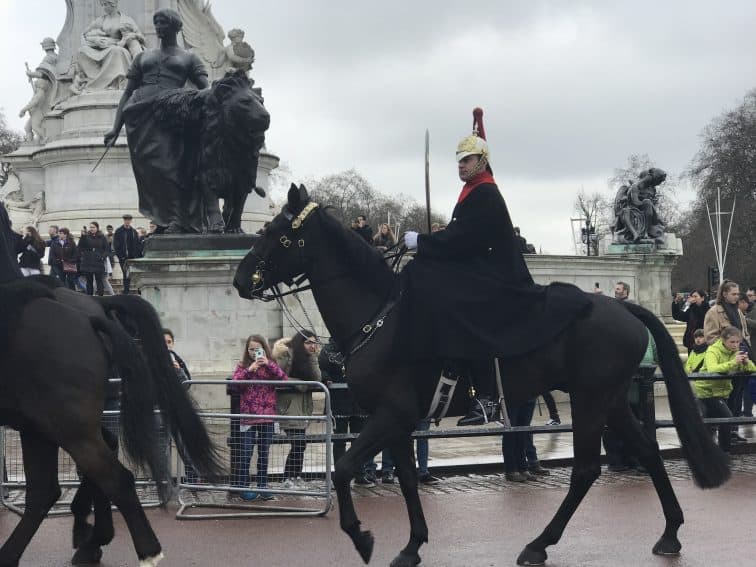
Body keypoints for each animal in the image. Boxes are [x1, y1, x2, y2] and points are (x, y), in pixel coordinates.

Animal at [0, 205, 223, 567]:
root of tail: (93, 311)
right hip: (41, 423)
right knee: (51, 488)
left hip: (63, 422)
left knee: (109, 477)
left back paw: (143, 549)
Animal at [235, 185, 732, 567]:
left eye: (276, 234)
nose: (240, 279)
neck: (382, 315)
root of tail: (626, 306)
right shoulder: (395, 417)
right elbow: (405, 477)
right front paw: (412, 545)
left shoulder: (392, 413)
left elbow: (344, 470)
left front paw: (361, 537)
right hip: (608, 399)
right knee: (646, 450)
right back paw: (670, 532)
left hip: (591, 399)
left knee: (587, 468)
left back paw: (538, 544)